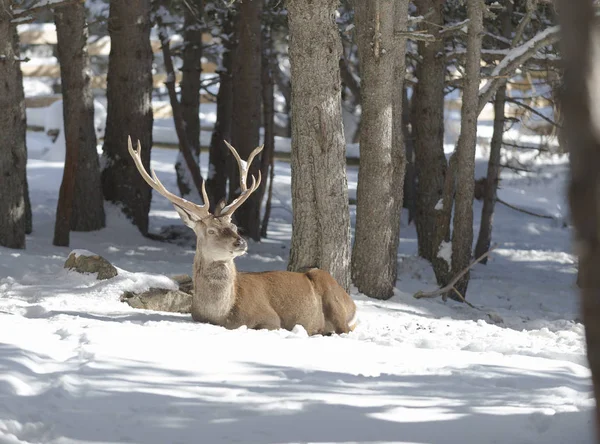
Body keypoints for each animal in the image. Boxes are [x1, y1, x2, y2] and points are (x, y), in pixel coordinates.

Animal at [127, 137, 356, 334]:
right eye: (211, 230)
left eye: (234, 226)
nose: (241, 243)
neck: (222, 314)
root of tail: (352, 303)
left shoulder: (271, 319)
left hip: (332, 297)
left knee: (343, 328)